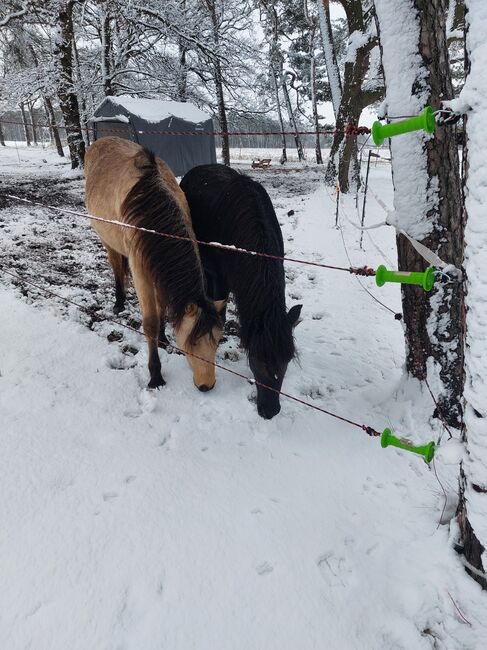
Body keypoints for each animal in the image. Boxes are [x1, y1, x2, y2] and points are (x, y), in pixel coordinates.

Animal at [85, 137, 222, 390]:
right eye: (191, 343)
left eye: (218, 340)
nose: (207, 385)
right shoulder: (141, 273)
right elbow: (149, 321)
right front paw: (155, 375)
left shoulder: (158, 267)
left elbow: (161, 309)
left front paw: (163, 338)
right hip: (107, 241)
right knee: (116, 266)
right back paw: (118, 302)